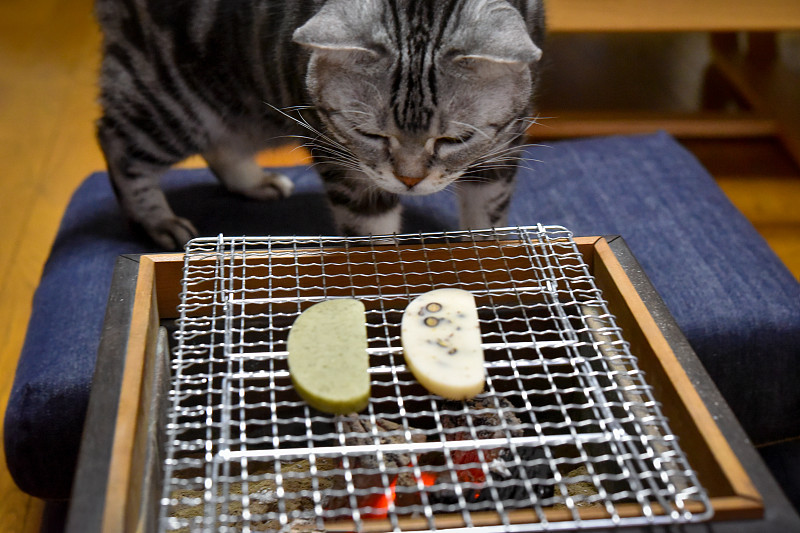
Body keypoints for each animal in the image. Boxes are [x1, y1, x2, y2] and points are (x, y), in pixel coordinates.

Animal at [92, 0, 544, 249]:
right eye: (370, 135)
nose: (409, 181)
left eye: (454, 139)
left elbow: (486, 224)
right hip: (175, 101)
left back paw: (254, 182)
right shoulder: (349, 167)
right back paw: (157, 221)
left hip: (238, 105)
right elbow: (373, 237)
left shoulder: (502, 150)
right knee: (115, 140)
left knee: (221, 142)